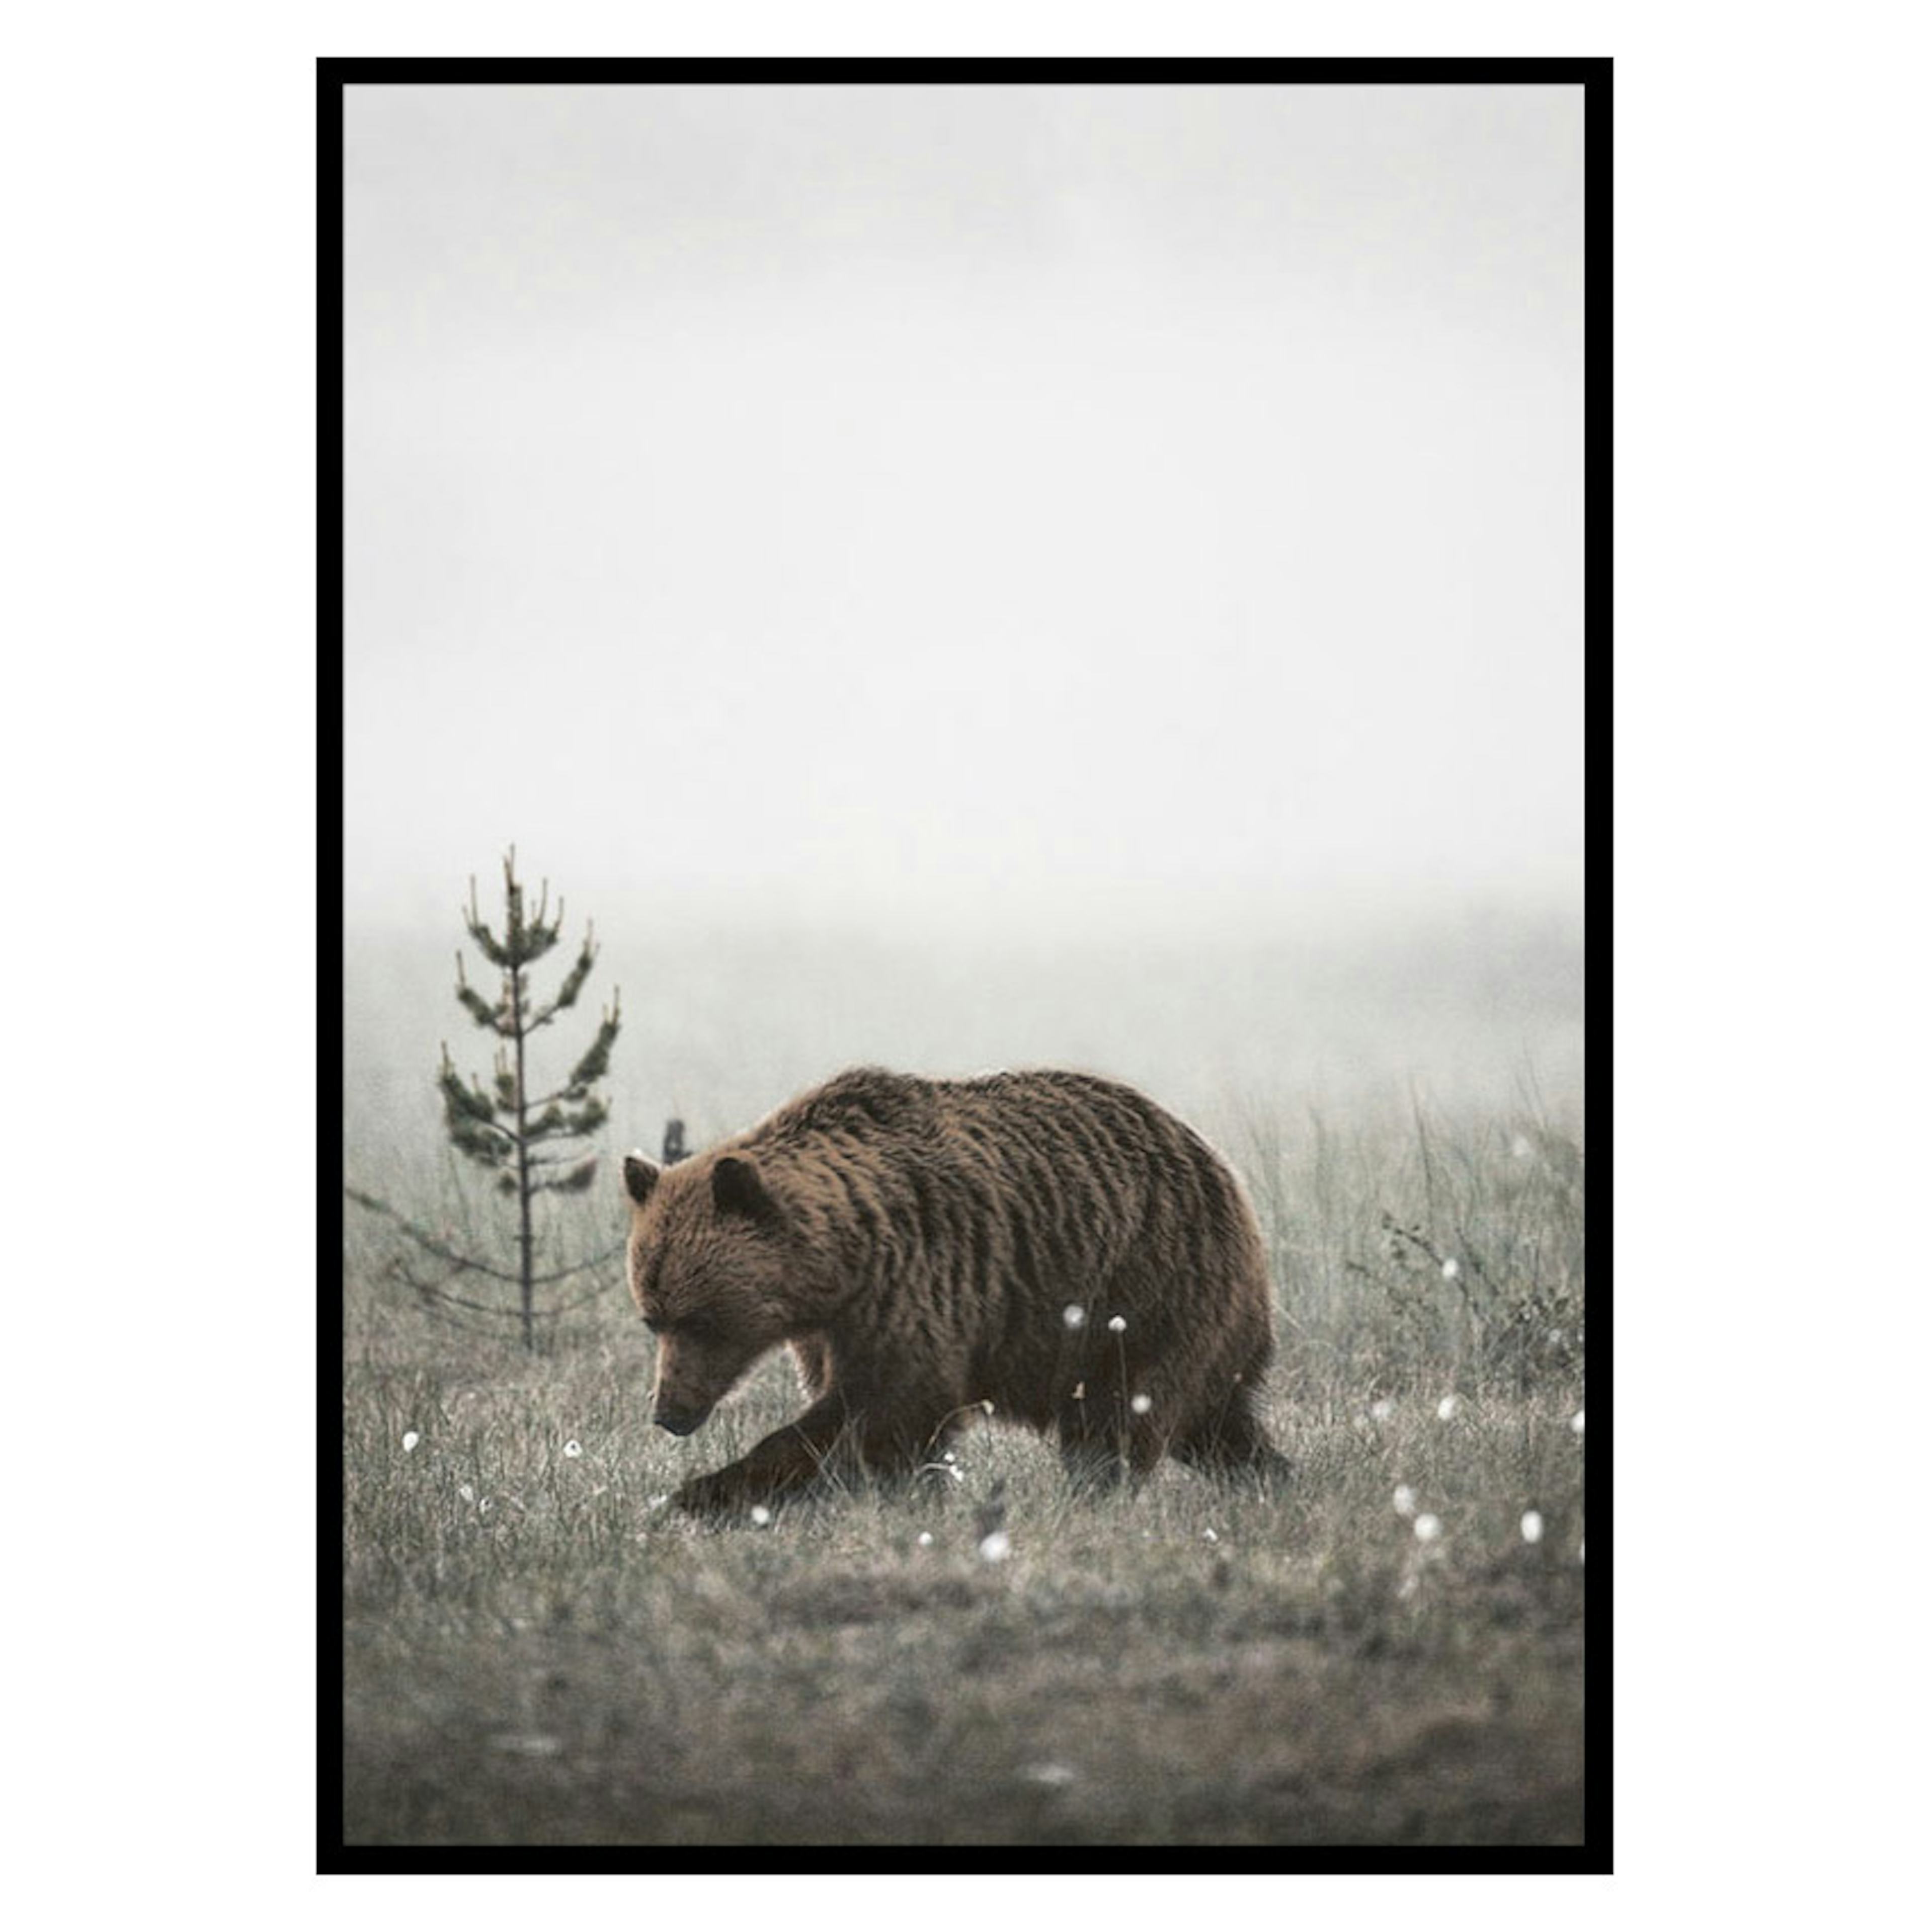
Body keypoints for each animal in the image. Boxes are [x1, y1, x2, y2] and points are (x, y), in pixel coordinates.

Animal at [621, 1066, 1284, 1515]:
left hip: (1145, 1292)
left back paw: (1093, 1495)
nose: (669, 1413)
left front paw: (703, 1493)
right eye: (653, 1319)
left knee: (1121, 1416)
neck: (841, 1263)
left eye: (703, 1319)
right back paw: (1273, 1478)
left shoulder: (915, 1279)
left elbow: (888, 1406)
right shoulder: (830, 1327)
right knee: (1216, 1424)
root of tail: (1223, 1171)